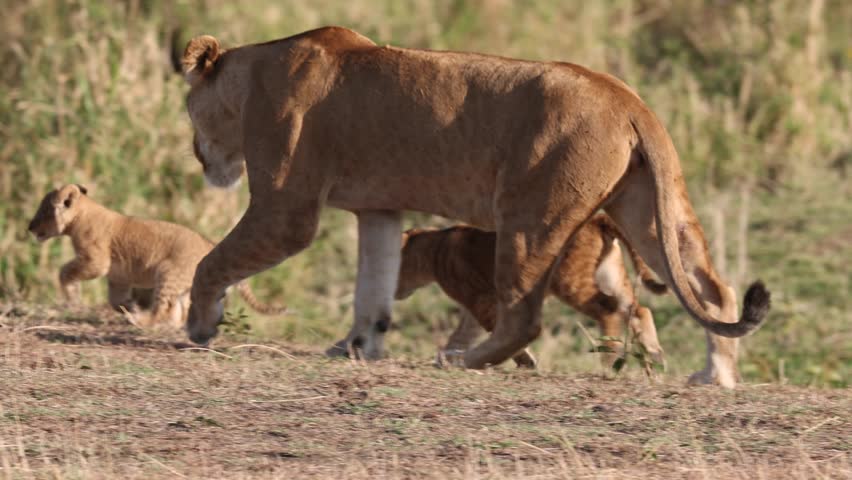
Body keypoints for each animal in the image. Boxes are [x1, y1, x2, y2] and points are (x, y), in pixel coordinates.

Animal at [27, 184, 284, 328]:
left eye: (44, 211)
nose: (29, 227)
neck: (82, 215)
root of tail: (207, 243)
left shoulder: (97, 261)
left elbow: (65, 272)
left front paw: (71, 296)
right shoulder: (118, 276)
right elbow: (116, 299)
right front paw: (128, 307)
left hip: (168, 274)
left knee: (163, 308)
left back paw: (142, 322)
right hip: (183, 284)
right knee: (179, 311)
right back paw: (165, 325)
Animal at [395, 214, 667, 371]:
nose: (393, 295)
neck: (433, 247)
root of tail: (598, 219)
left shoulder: (480, 300)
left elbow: (500, 332)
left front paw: (525, 361)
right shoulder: (475, 304)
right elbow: (462, 335)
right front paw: (448, 358)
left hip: (570, 282)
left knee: (608, 310)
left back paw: (608, 362)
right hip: (610, 275)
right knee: (638, 309)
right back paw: (655, 355)